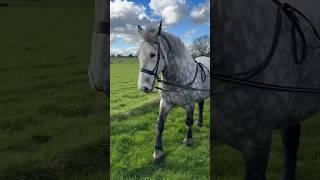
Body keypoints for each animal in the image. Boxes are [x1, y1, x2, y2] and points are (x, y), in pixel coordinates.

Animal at [137, 21, 210, 161]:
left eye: (152, 54)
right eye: (138, 54)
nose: (143, 87)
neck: (178, 79)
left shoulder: (189, 105)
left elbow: (188, 121)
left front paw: (188, 140)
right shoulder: (165, 103)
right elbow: (160, 124)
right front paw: (158, 151)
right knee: (201, 105)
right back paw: (199, 122)